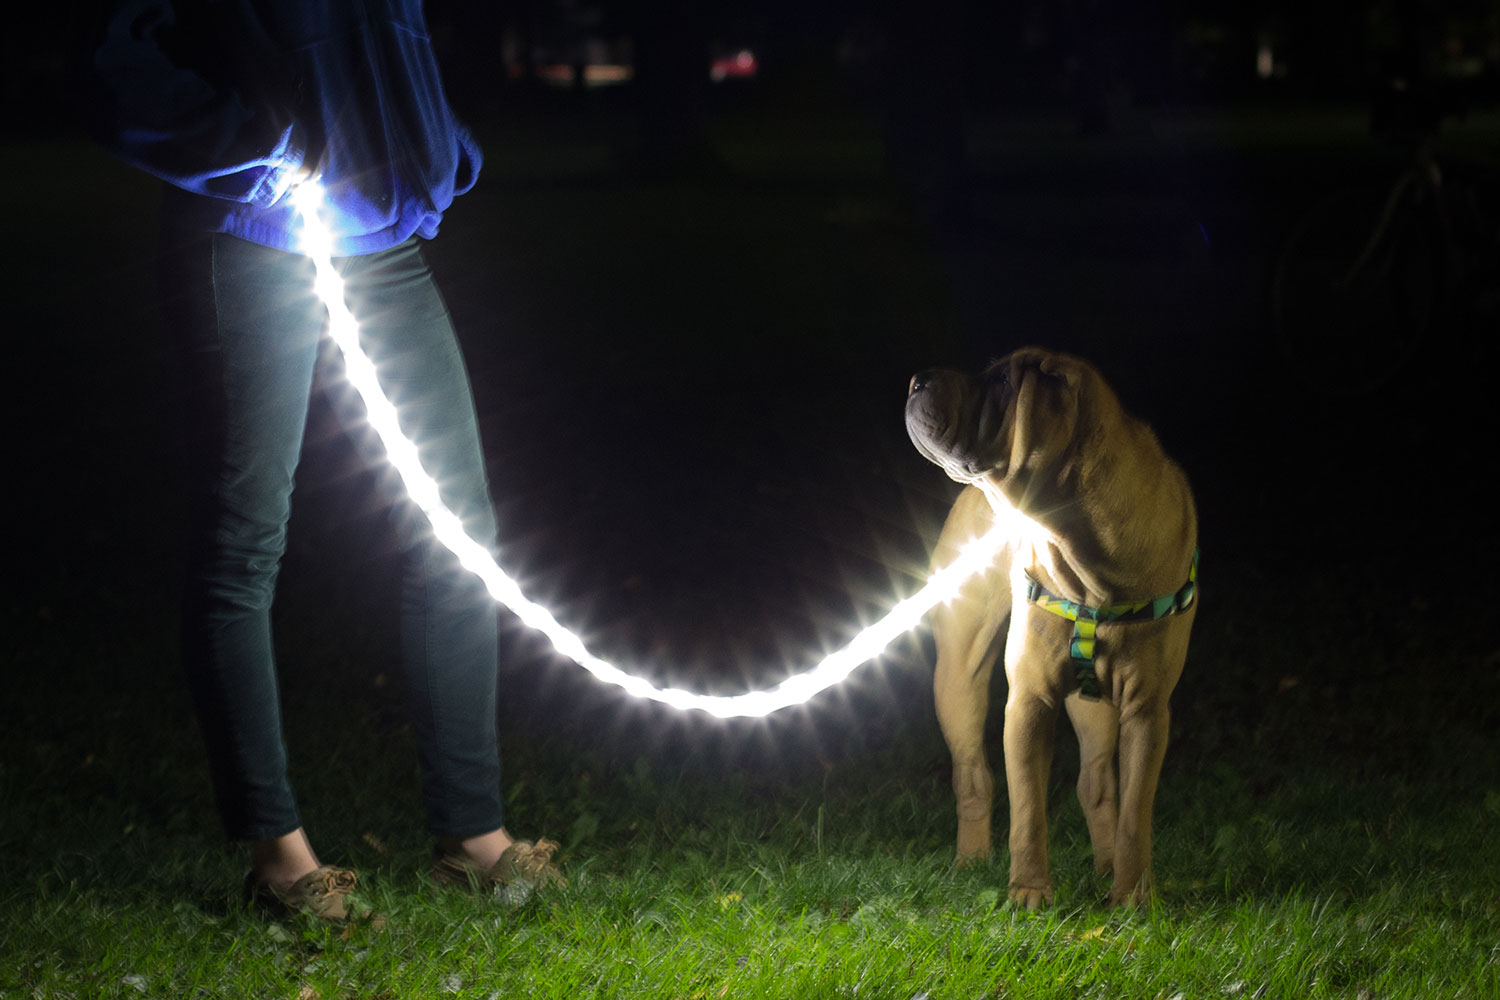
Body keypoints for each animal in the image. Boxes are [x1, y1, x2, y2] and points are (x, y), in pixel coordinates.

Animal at [900, 347, 1194, 911]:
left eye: (1001, 381)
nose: (916, 380)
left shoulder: (1147, 710)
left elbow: (1134, 813)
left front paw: (1132, 898)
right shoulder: (1029, 700)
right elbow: (1027, 811)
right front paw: (1029, 893)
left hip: (1094, 703)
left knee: (1096, 783)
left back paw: (1106, 868)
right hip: (958, 676)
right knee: (973, 776)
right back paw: (972, 860)